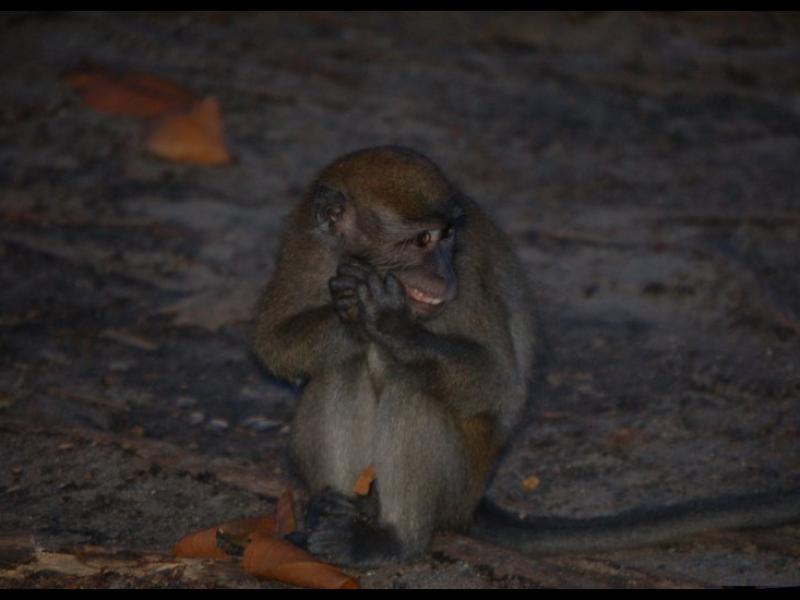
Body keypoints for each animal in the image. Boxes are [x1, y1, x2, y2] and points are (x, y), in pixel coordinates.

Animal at [254, 146, 800, 567]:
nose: (442, 273)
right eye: (421, 241)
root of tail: (472, 501)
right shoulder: (304, 243)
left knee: (411, 384)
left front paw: (389, 323)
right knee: (340, 370)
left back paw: (393, 538)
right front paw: (351, 313)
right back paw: (341, 511)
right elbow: (273, 344)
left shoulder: (469, 270)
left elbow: (497, 380)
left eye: (446, 238)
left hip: (458, 483)